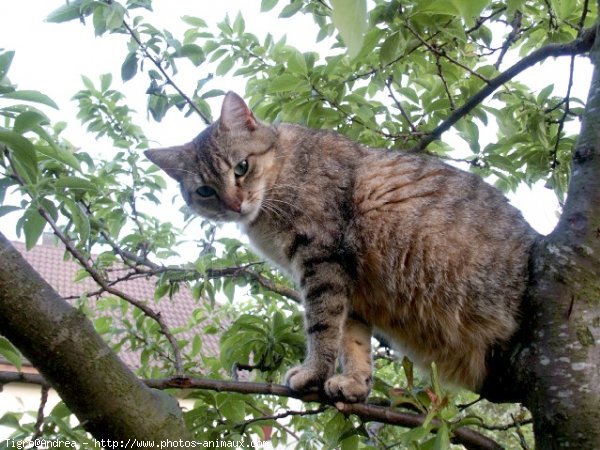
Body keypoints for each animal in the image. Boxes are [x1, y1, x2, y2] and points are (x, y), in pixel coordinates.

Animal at [145, 90, 540, 400]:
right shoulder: (351, 284)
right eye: (205, 191)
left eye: (241, 167)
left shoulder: (321, 260)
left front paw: (311, 373)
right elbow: (352, 340)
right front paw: (354, 382)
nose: (233, 204)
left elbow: (322, 326)